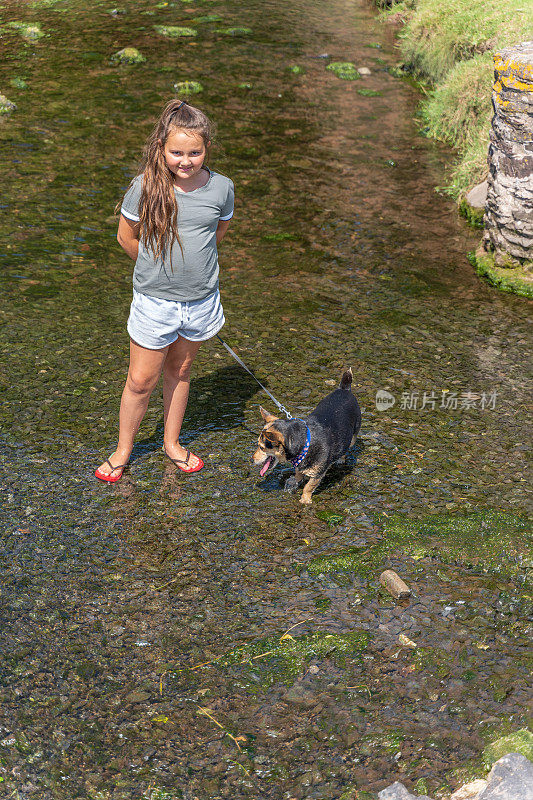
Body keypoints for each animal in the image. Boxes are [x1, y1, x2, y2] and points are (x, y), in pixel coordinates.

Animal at [251, 366, 360, 504]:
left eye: (261, 447)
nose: (251, 460)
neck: (303, 442)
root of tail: (344, 389)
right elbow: (298, 473)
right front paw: (294, 481)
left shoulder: (317, 474)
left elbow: (308, 486)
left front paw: (305, 499)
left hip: (353, 436)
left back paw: (341, 458)